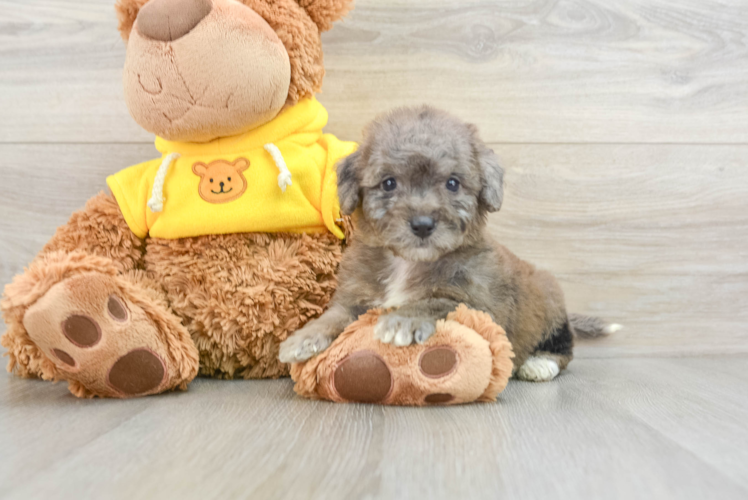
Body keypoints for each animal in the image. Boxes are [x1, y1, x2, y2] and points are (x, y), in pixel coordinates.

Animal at [278, 104, 616, 378]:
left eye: (452, 183)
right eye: (389, 183)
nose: (423, 224)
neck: (408, 263)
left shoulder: (482, 305)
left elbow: (438, 300)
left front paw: (403, 319)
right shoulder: (355, 295)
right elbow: (334, 314)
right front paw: (303, 338)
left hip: (549, 304)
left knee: (564, 346)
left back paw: (540, 364)